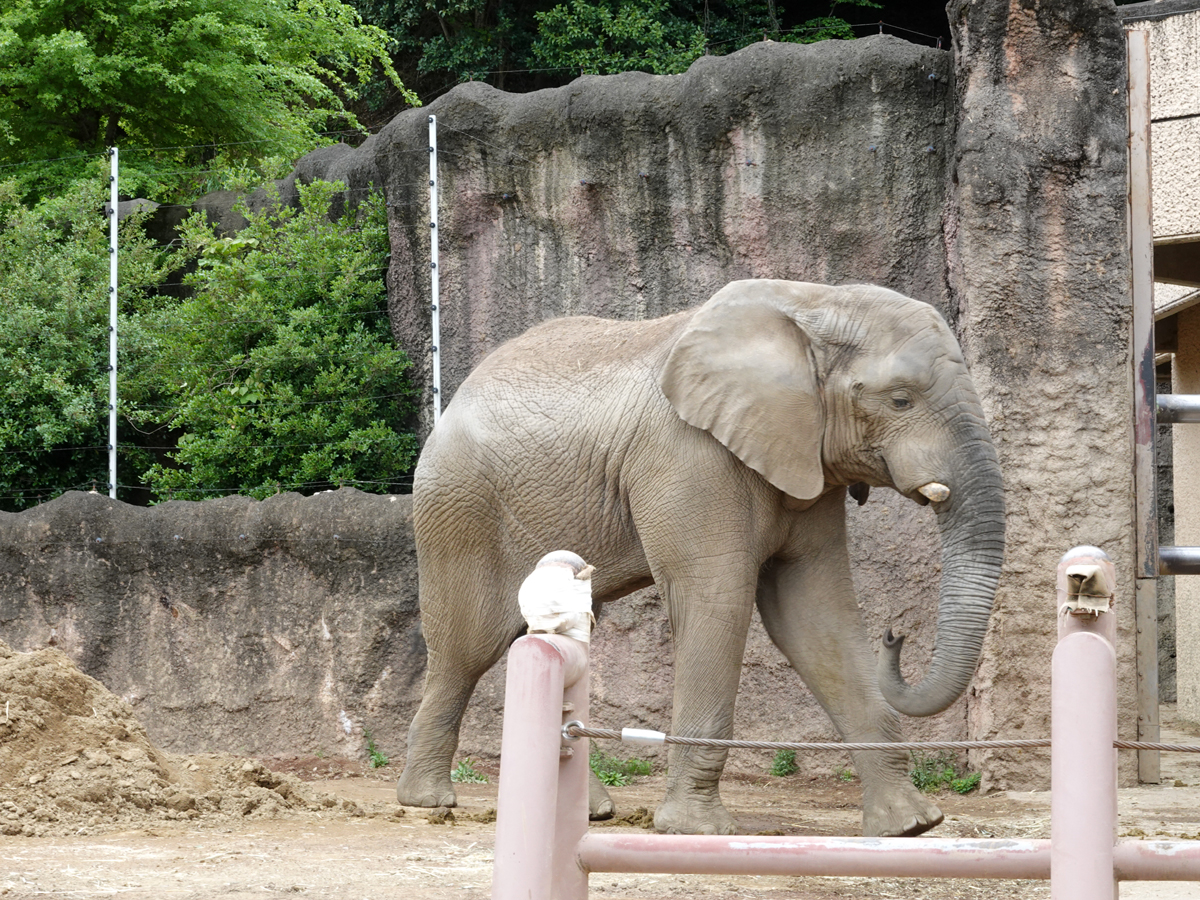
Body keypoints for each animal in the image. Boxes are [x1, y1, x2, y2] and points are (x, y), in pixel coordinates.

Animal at [396, 282, 1003, 840]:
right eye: (900, 399)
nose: (895, 634)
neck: (812, 303)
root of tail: (456, 396)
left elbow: (813, 613)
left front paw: (911, 826)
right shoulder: (689, 456)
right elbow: (717, 599)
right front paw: (697, 829)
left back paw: (588, 812)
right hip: (460, 510)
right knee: (466, 649)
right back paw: (428, 802)